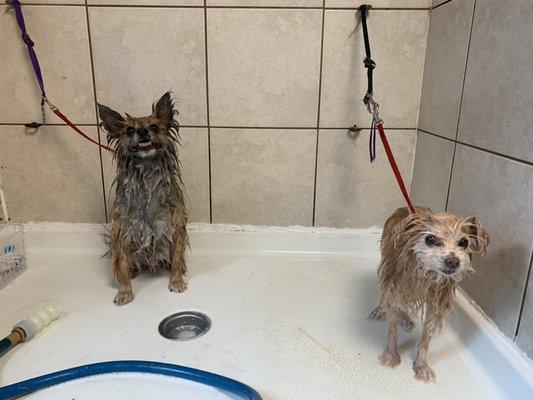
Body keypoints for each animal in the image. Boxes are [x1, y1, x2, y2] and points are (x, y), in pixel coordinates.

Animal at [98, 93, 188, 306]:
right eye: (130, 130)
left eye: (154, 127)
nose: (142, 131)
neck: (147, 177)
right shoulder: (123, 232)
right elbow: (122, 264)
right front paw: (124, 292)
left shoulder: (175, 227)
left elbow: (177, 257)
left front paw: (176, 281)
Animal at [370, 206, 486, 382]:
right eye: (430, 239)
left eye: (464, 242)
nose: (453, 261)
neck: (426, 273)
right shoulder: (395, 288)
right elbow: (392, 329)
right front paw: (391, 355)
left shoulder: (436, 305)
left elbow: (425, 338)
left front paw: (421, 365)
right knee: (384, 293)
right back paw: (380, 309)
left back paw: (406, 318)